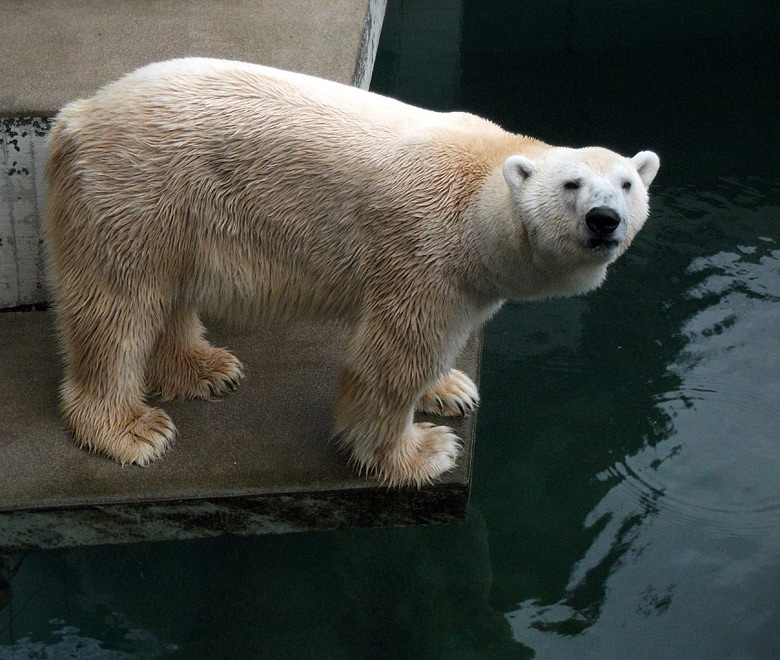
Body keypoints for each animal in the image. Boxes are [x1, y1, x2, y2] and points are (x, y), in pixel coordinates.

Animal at [44, 58, 660, 484]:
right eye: (572, 184)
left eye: (627, 183)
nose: (604, 219)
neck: (479, 192)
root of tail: (79, 114)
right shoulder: (424, 250)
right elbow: (393, 358)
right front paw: (423, 451)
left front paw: (451, 389)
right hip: (139, 189)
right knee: (118, 306)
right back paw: (130, 429)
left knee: (168, 290)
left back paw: (205, 368)